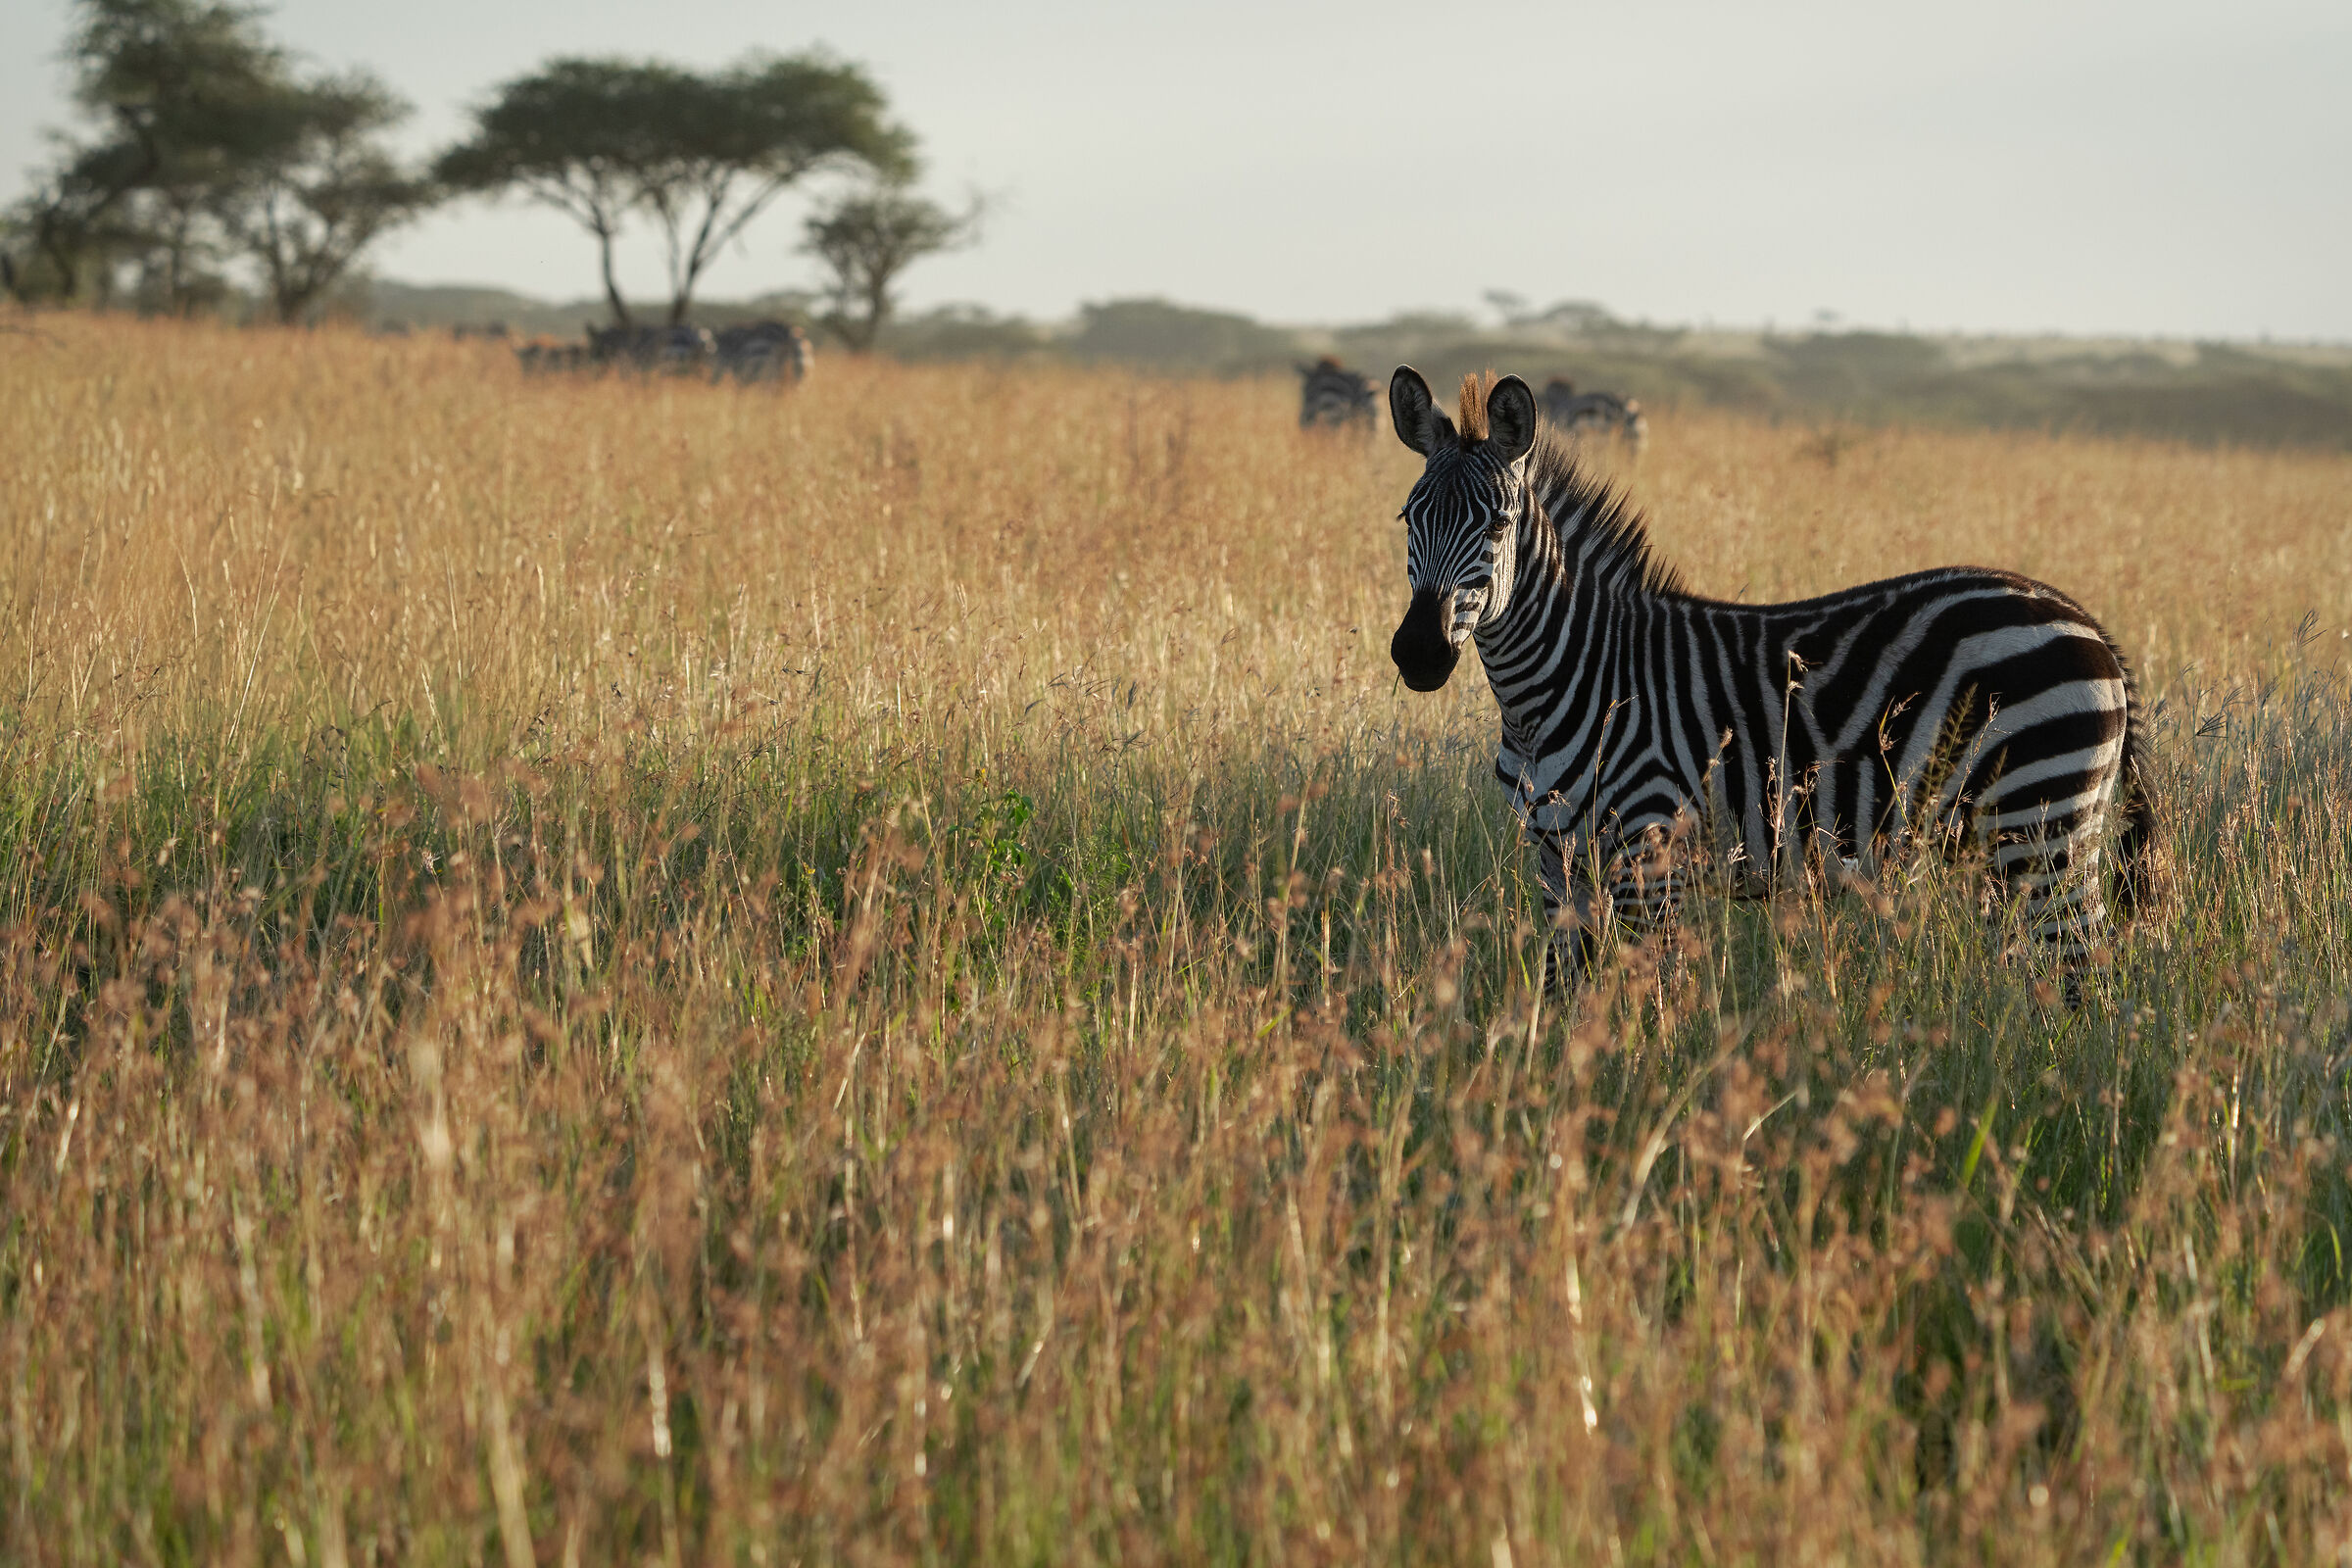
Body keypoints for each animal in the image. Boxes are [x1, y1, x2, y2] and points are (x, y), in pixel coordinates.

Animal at [1384, 366, 2157, 993]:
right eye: (1406, 519)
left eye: (1498, 526)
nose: (1418, 654)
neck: (1553, 690)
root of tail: (2089, 625)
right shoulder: (1557, 864)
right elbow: (1564, 994)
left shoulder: (1650, 855)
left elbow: (1652, 999)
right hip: (2016, 836)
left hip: (2041, 823)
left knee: (2081, 968)